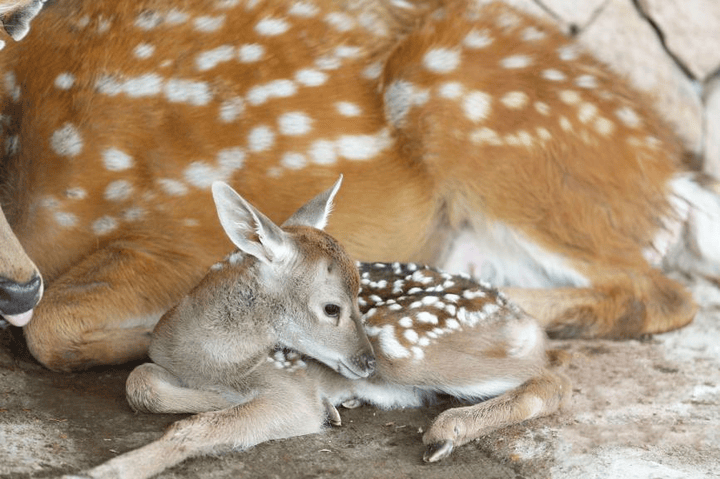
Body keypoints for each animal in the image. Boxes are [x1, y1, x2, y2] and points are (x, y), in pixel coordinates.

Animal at [0, 0, 719, 372]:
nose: (17, 284)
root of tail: (670, 164)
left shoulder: (179, 230)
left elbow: (50, 327)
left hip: (486, 125)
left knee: (662, 291)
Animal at [64, 178, 570, 479]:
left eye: (361, 292)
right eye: (331, 308)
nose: (365, 364)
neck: (207, 357)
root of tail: (517, 313)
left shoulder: (289, 390)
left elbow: (193, 429)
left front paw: (109, 470)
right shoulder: (161, 359)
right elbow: (140, 382)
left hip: (404, 347)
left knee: (553, 378)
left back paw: (447, 430)